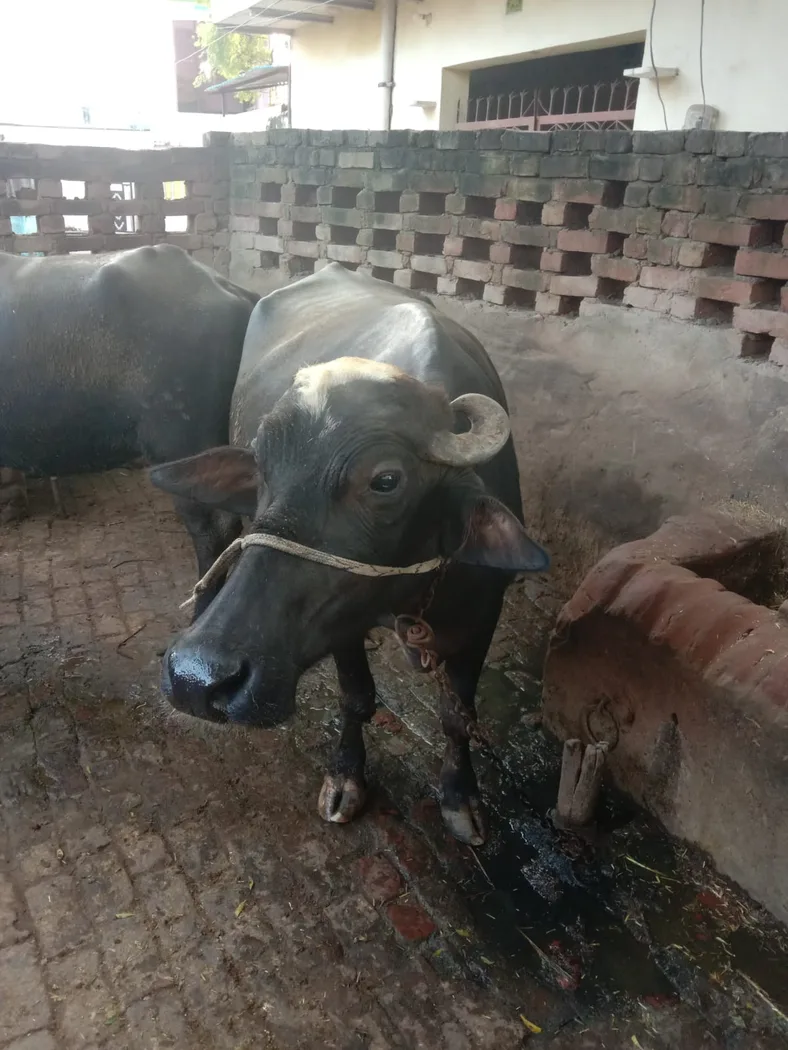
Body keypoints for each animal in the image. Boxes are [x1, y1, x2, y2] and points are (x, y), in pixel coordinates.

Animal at [151, 264, 548, 845]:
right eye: (262, 465)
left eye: (385, 480)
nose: (196, 678)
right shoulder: (341, 620)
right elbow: (357, 696)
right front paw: (345, 776)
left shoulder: (483, 615)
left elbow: (458, 715)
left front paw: (460, 797)